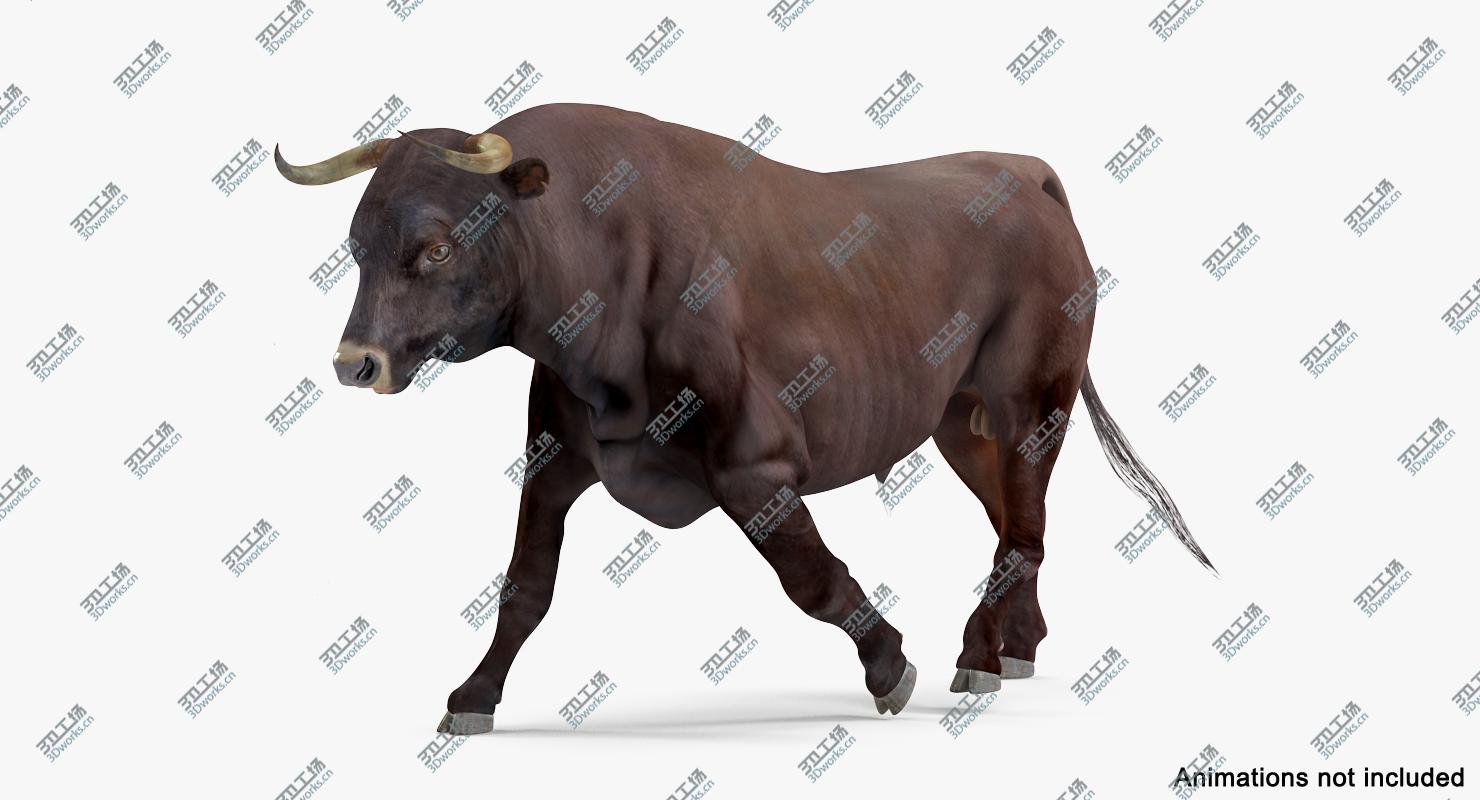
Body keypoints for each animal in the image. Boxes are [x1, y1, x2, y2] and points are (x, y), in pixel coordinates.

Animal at [274, 102, 1215, 735]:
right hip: (962, 419)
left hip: (1031, 403)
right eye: (355, 245)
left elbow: (814, 579)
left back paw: (980, 658)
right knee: (1021, 523)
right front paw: (474, 697)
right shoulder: (554, 458)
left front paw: (890, 667)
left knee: (1022, 523)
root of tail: (1018, 168)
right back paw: (1014, 648)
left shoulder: (753, 465)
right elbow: (524, 588)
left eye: (437, 246)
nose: (356, 363)